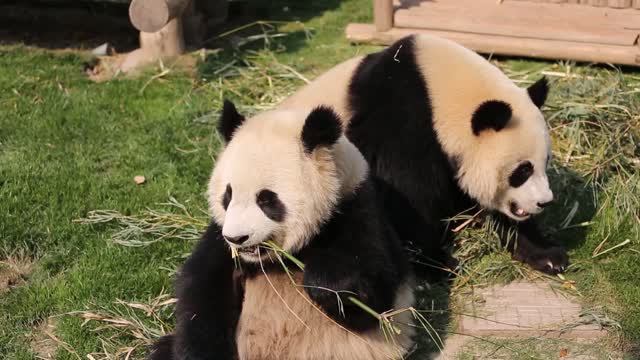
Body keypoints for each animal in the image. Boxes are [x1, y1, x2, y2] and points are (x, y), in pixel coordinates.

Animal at [152, 101, 418, 360]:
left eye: (266, 199)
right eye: (227, 196)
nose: (237, 238)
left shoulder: (358, 211)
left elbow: (373, 304)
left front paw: (324, 283)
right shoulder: (219, 237)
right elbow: (203, 294)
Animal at [282, 34, 568, 276]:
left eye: (545, 163)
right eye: (522, 170)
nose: (545, 202)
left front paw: (547, 254)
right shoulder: (402, 119)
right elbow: (407, 193)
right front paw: (438, 262)